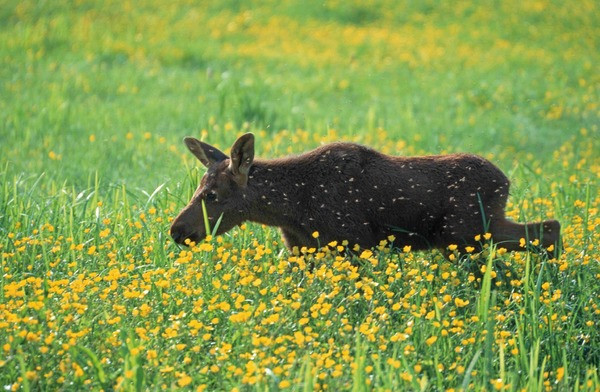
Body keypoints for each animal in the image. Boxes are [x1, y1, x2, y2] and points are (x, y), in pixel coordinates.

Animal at [171, 133, 560, 253]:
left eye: (211, 195)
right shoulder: (301, 248)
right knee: (548, 228)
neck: (291, 209)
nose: (176, 230)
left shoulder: (355, 241)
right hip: (479, 230)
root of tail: (506, 182)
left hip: (464, 234)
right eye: (198, 188)